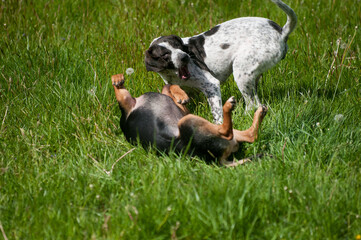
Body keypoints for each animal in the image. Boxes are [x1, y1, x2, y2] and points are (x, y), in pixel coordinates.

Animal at [112, 73, 268, 167]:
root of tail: (216, 161)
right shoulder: (126, 104)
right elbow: (168, 85)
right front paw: (117, 79)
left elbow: (169, 85)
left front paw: (180, 94)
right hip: (187, 121)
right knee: (228, 132)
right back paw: (229, 106)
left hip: (200, 123)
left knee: (250, 135)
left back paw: (259, 112)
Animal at [143, 0, 296, 124]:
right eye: (165, 55)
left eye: (178, 46)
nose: (185, 57)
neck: (174, 74)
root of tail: (281, 32)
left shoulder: (211, 85)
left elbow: (216, 112)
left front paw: (218, 126)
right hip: (251, 76)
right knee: (256, 103)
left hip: (241, 73)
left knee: (253, 104)